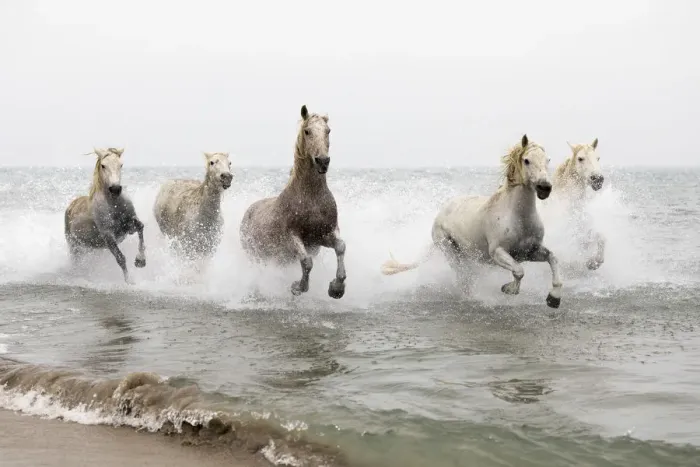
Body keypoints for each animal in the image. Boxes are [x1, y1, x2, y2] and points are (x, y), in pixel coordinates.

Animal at [64, 148, 146, 283]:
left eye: (121, 165)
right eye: (103, 165)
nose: (115, 189)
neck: (114, 205)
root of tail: (71, 205)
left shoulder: (127, 227)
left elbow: (140, 227)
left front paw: (140, 261)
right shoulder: (108, 235)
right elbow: (121, 258)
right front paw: (129, 281)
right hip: (74, 244)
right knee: (76, 260)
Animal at [239, 105, 346, 299]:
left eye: (328, 130)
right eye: (307, 131)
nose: (322, 161)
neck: (311, 198)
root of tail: (249, 211)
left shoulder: (323, 235)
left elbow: (341, 247)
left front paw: (336, 288)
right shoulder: (292, 238)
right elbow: (306, 262)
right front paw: (298, 286)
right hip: (257, 257)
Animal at [380, 134, 562, 308]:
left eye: (548, 160)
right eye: (527, 160)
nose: (545, 188)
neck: (518, 217)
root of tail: (440, 214)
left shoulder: (530, 251)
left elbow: (552, 258)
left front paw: (554, 298)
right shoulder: (497, 252)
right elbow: (519, 271)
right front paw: (509, 289)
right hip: (450, 251)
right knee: (463, 279)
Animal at [552, 138, 605, 270]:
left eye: (598, 158)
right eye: (580, 158)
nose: (598, 179)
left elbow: (599, 236)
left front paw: (594, 262)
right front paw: (592, 262)